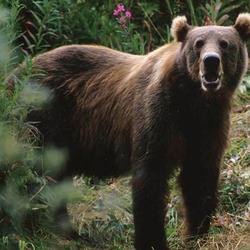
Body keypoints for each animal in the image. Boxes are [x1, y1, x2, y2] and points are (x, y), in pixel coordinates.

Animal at [5, 12, 250, 249]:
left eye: (225, 43)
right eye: (198, 44)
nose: (211, 61)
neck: (193, 100)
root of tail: (14, 74)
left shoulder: (208, 126)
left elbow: (199, 177)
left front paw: (196, 236)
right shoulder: (158, 114)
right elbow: (150, 177)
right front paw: (152, 241)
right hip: (43, 116)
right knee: (39, 174)